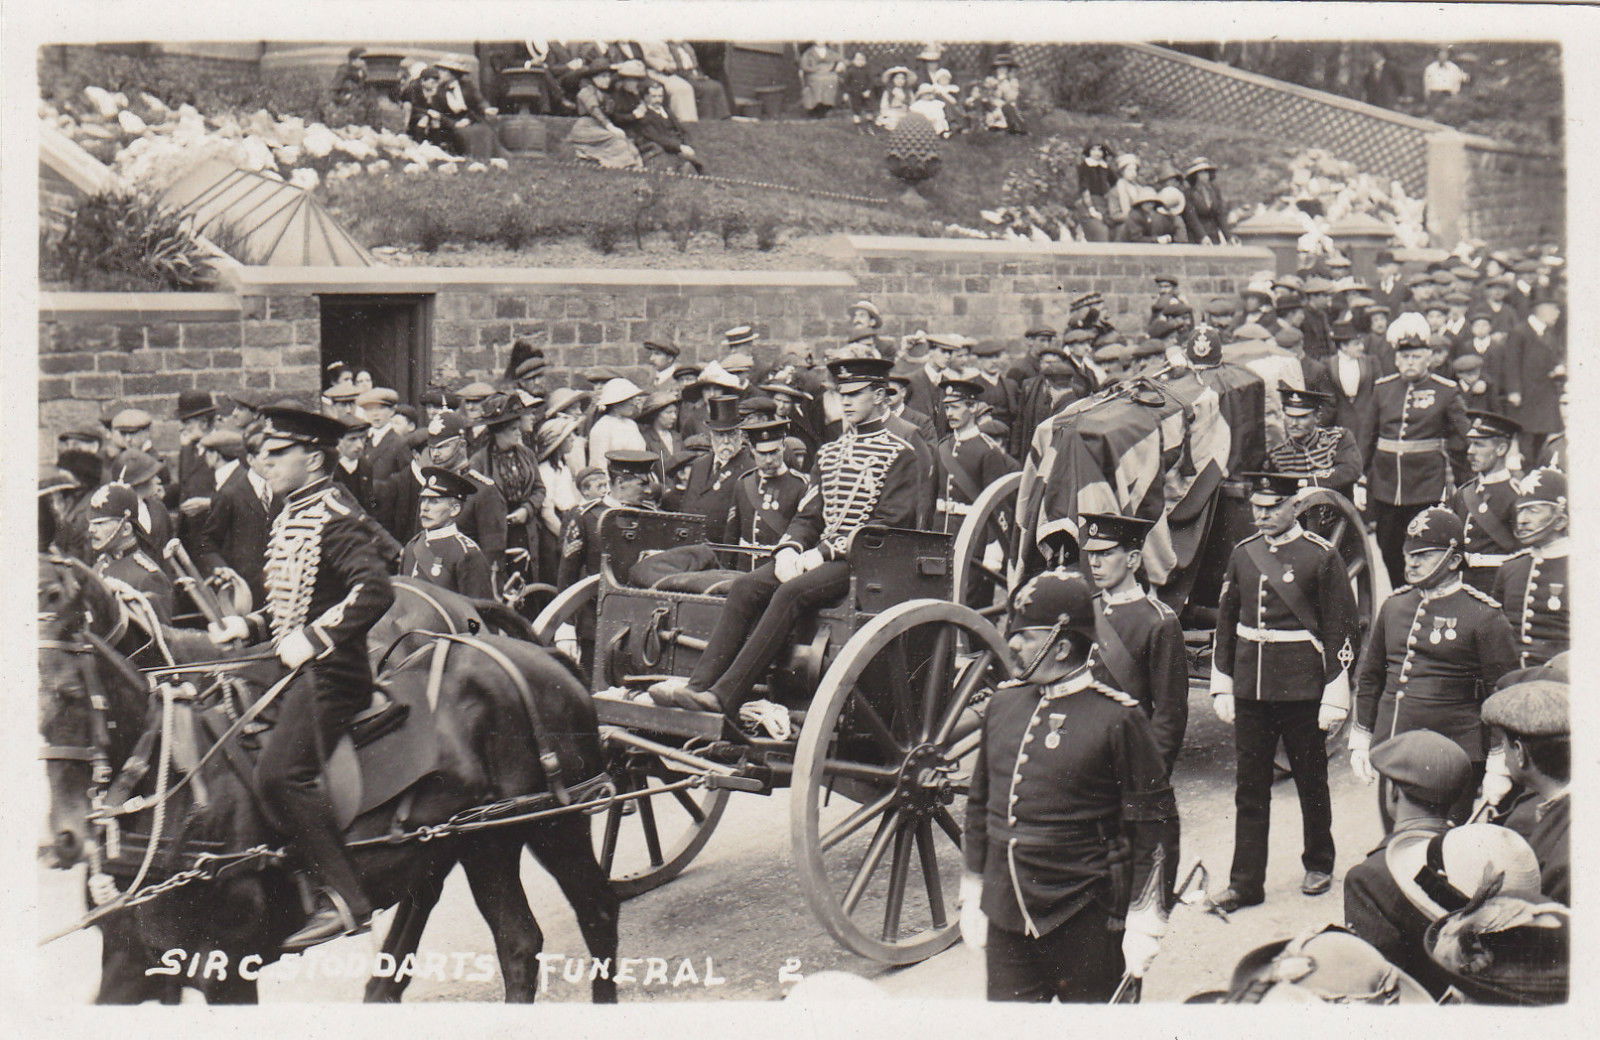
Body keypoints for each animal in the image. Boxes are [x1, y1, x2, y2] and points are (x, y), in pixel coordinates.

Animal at [39, 560, 617, 1004]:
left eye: (70, 694)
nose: (62, 840)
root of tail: (548, 657)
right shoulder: (130, 963)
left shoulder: (227, 968)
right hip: (482, 841)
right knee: (515, 943)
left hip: (554, 824)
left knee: (597, 911)